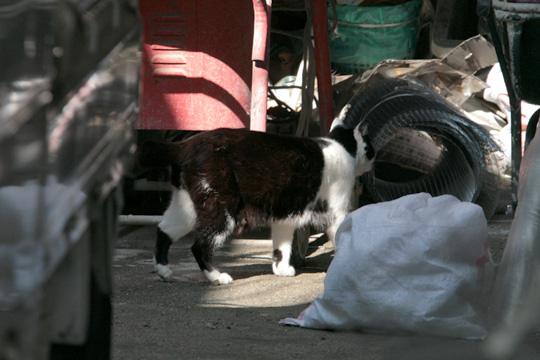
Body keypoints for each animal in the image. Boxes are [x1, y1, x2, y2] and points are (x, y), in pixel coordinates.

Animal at [141, 105, 374, 286]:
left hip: (189, 206)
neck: (342, 147)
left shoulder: (285, 214)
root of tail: (186, 144)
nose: (374, 157)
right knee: (199, 246)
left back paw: (163, 271)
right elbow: (341, 234)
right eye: (370, 147)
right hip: (222, 208)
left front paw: (281, 269)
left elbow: (282, 245)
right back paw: (217, 277)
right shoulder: (335, 210)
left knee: (164, 230)